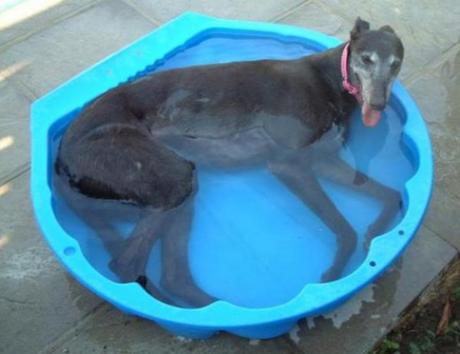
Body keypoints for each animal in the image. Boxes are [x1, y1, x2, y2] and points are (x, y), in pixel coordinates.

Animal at [55, 18, 404, 308]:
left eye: (396, 63)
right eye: (366, 58)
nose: (378, 104)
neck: (329, 80)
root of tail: (58, 164)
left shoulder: (321, 160)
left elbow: (390, 198)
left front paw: (375, 232)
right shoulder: (288, 165)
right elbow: (342, 226)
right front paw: (335, 273)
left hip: (172, 187)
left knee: (172, 276)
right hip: (164, 175)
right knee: (126, 264)